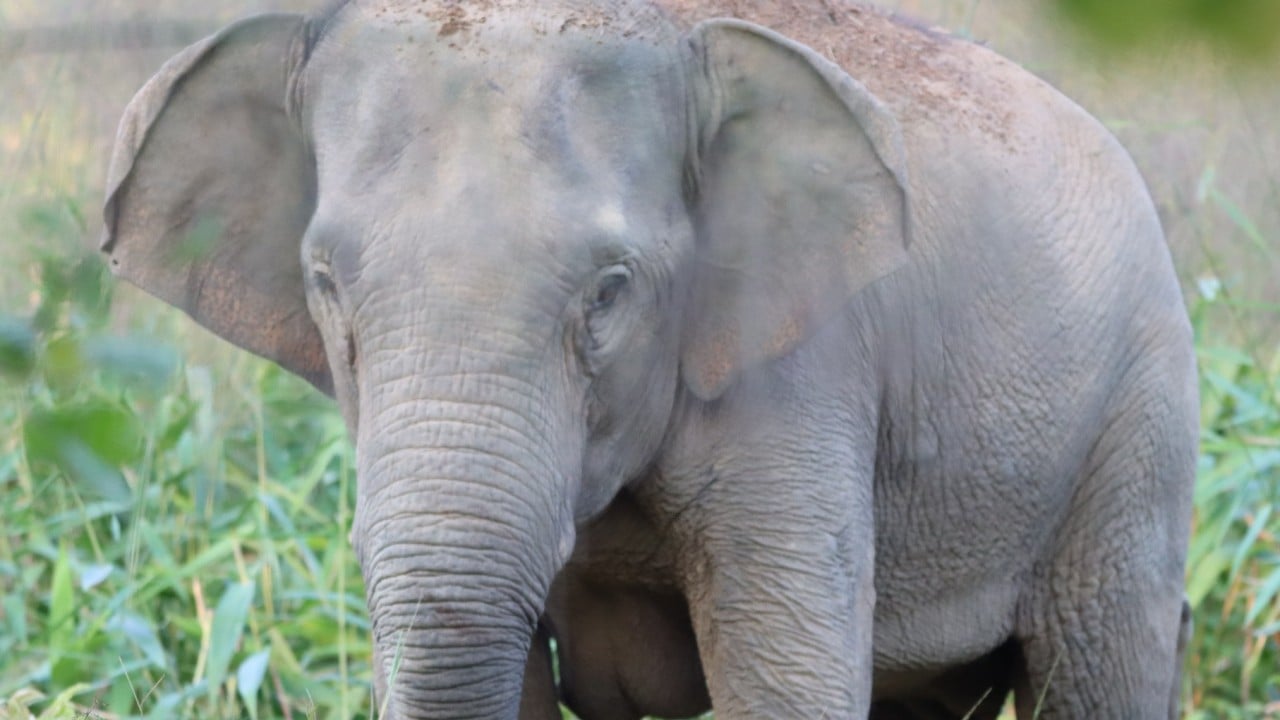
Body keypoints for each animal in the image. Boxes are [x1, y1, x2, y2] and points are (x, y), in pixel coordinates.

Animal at [99, 0, 1199, 717]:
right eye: (324, 280)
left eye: (609, 290)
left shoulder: (802, 372)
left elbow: (788, 675)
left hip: (1136, 423)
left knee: (1104, 663)